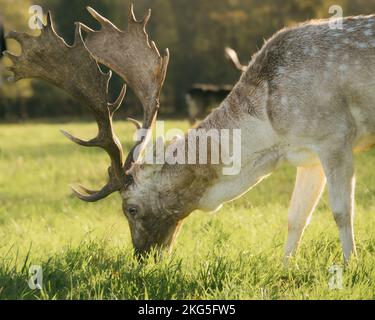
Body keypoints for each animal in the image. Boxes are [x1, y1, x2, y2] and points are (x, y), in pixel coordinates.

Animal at [5, 6, 375, 264]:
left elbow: (342, 211)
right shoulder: (306, 155)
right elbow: (297, 217)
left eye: (131, 209)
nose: (142, 258)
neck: (272, 128)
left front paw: (350, 266)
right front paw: (284, 267)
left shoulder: (334, 135)